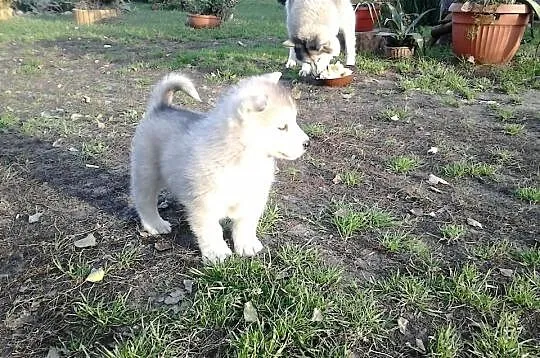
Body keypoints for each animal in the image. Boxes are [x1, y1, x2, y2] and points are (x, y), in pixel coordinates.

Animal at [130, 72, 308, 262]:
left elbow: (245, 224)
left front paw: (247, 245)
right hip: (147, 173)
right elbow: (211, 230)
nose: (307, 143)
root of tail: (161, 107)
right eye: (282, 127)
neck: (243, 159)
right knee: (145, 201)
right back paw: (155, 224)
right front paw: (217, 252)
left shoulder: (252, 198)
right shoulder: (204, 204)